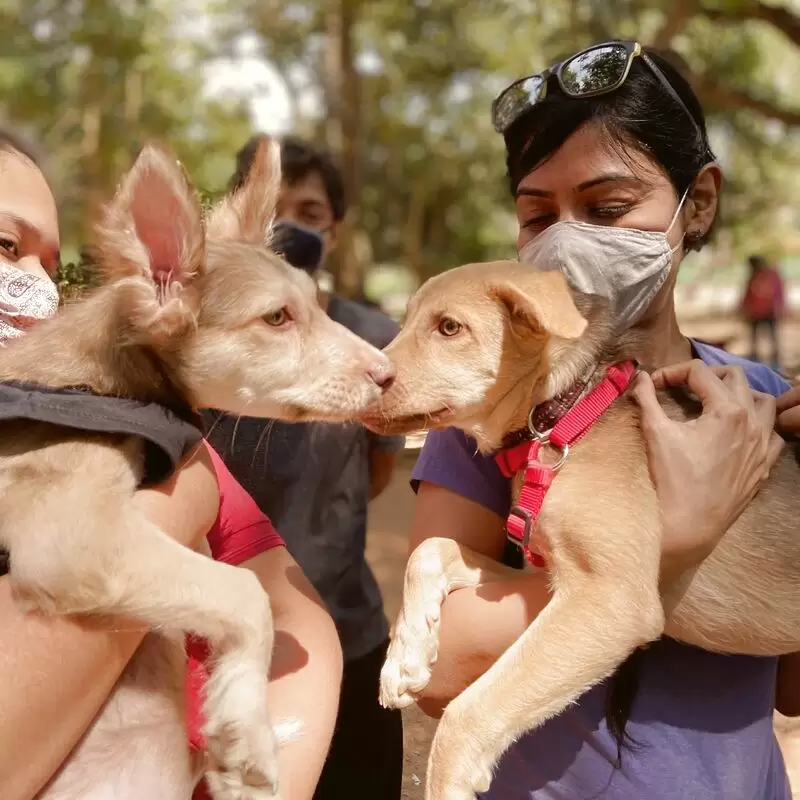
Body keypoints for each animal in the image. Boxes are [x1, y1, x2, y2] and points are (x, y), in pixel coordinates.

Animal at [0, 142, 394, 800]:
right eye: (278, 319)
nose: (390, 374)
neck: (101, 382)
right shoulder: (67, 531)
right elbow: (245, 593)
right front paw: (249, 733)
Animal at [364, 260, 800, 800]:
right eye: (403, 322)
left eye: (449, 328)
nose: (365, 376)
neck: (563, 413)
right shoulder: (548, 573)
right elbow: (431, 548)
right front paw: (405, 658)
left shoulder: (612, 598)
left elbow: (466, 714)